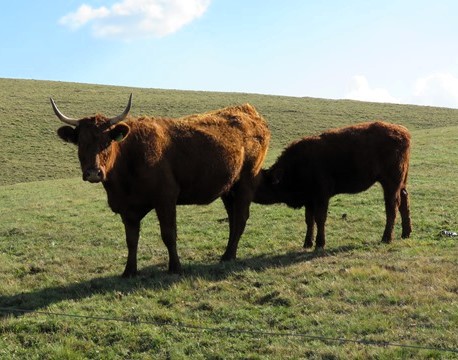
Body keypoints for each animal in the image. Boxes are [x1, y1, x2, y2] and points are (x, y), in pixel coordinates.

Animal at [52, 95, 270, 276]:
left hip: (246, 182)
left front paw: (175, 267)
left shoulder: (165, 199)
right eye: (81, 142)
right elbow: (131, 240)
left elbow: (168, 234)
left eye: (107, 140)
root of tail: (250, 113)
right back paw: (229, 253)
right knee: (233, 218)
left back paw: (228, 255)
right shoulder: (127, 208)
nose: (93, 172)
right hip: (228, 187)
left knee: (240, 218)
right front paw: (129, 271)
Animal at [254, 121, 412, 250]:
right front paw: (307, 243)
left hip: (390, 184)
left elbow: (319, 218)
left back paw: (386, 238)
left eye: (259, 184)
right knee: (404, 200)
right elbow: (309, 220)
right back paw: (406, 233)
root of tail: (404, 132)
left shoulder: (321, 197)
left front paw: (319, 244)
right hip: (401, 183)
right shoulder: (309, 200)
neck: (297, 165)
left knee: (392, 206)